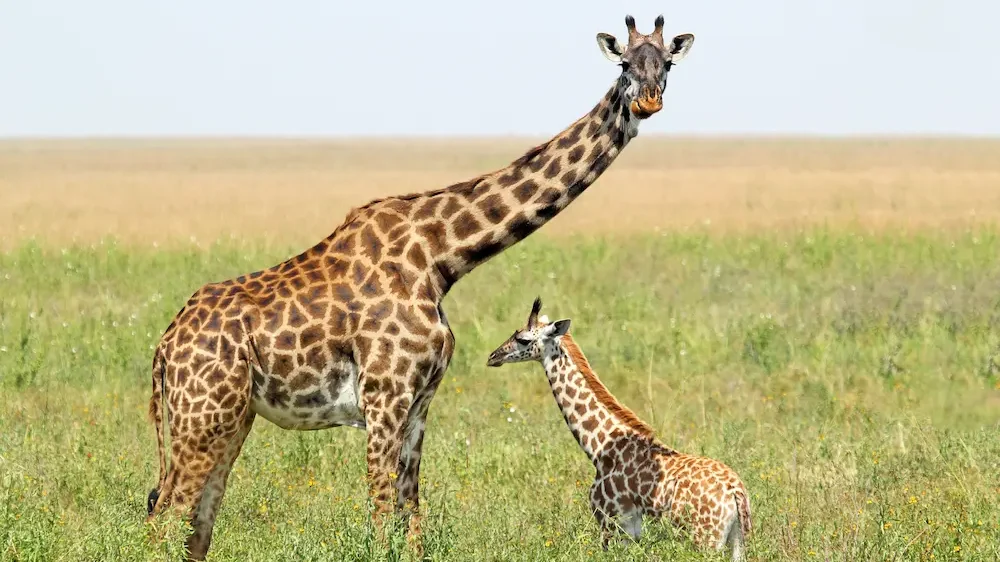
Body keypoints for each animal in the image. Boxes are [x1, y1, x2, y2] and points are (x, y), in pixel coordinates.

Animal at [146, 15, 696, 556]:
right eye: (624, 63)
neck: (439, 259)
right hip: (203, 414)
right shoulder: (384, 397)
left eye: (667, 63)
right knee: (165, 515)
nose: (648, 101)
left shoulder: (419, 404)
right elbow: (380, 517)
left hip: (232, 416)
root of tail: (165, 346)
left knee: (195, 523)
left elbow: (412, 519)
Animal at [484, 298, 752, 556]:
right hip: (738, 540)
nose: (493, 356)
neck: (598, 446)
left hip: (704, 539)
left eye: (523, 339)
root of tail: (735, 492)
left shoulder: (611, 522)